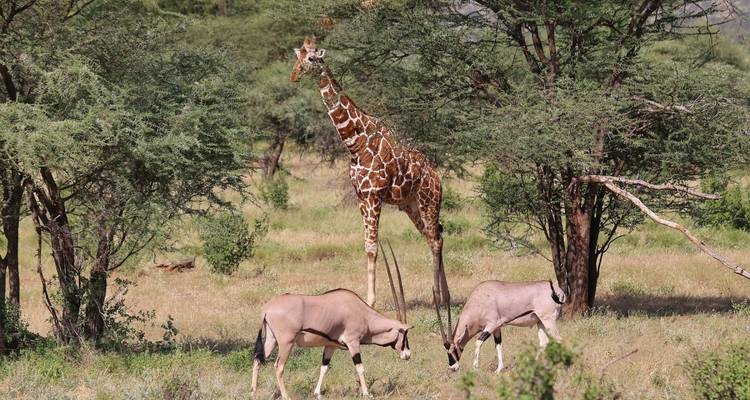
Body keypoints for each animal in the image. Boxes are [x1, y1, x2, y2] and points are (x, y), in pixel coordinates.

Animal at [290, 36, 450, 307]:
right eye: (297, 57)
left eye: (311, 58)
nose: (294, 75)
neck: (355, 143)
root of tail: (437, 177)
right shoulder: (361, 197)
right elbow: (366, 246)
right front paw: (367, 299)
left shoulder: (374, 195)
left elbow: (373, 248)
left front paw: (371, 302)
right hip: (410, 205)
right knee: (434, 236)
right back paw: (444, 296)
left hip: (429, 201)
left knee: (435, 239)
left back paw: (438, 297)